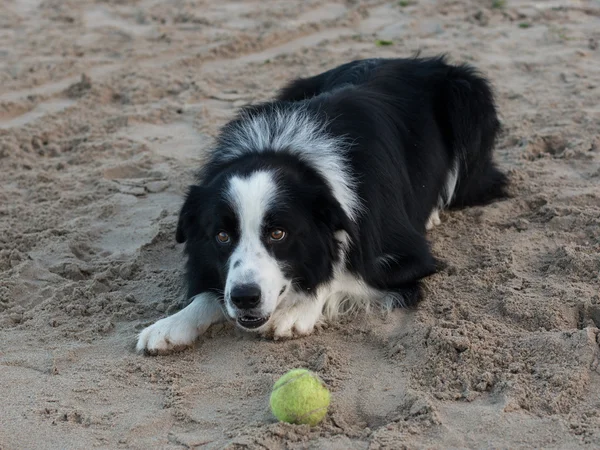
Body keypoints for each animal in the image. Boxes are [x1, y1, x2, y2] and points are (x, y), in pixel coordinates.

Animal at [136, 54, 506, 354]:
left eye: (279, 233)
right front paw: (172, 324)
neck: (284, 151)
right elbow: (209, 289)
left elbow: (343, 274)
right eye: (222, 236)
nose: (245, 298)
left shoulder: (410, 255)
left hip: (467, 96)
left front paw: (297, 311)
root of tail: (415, 60)